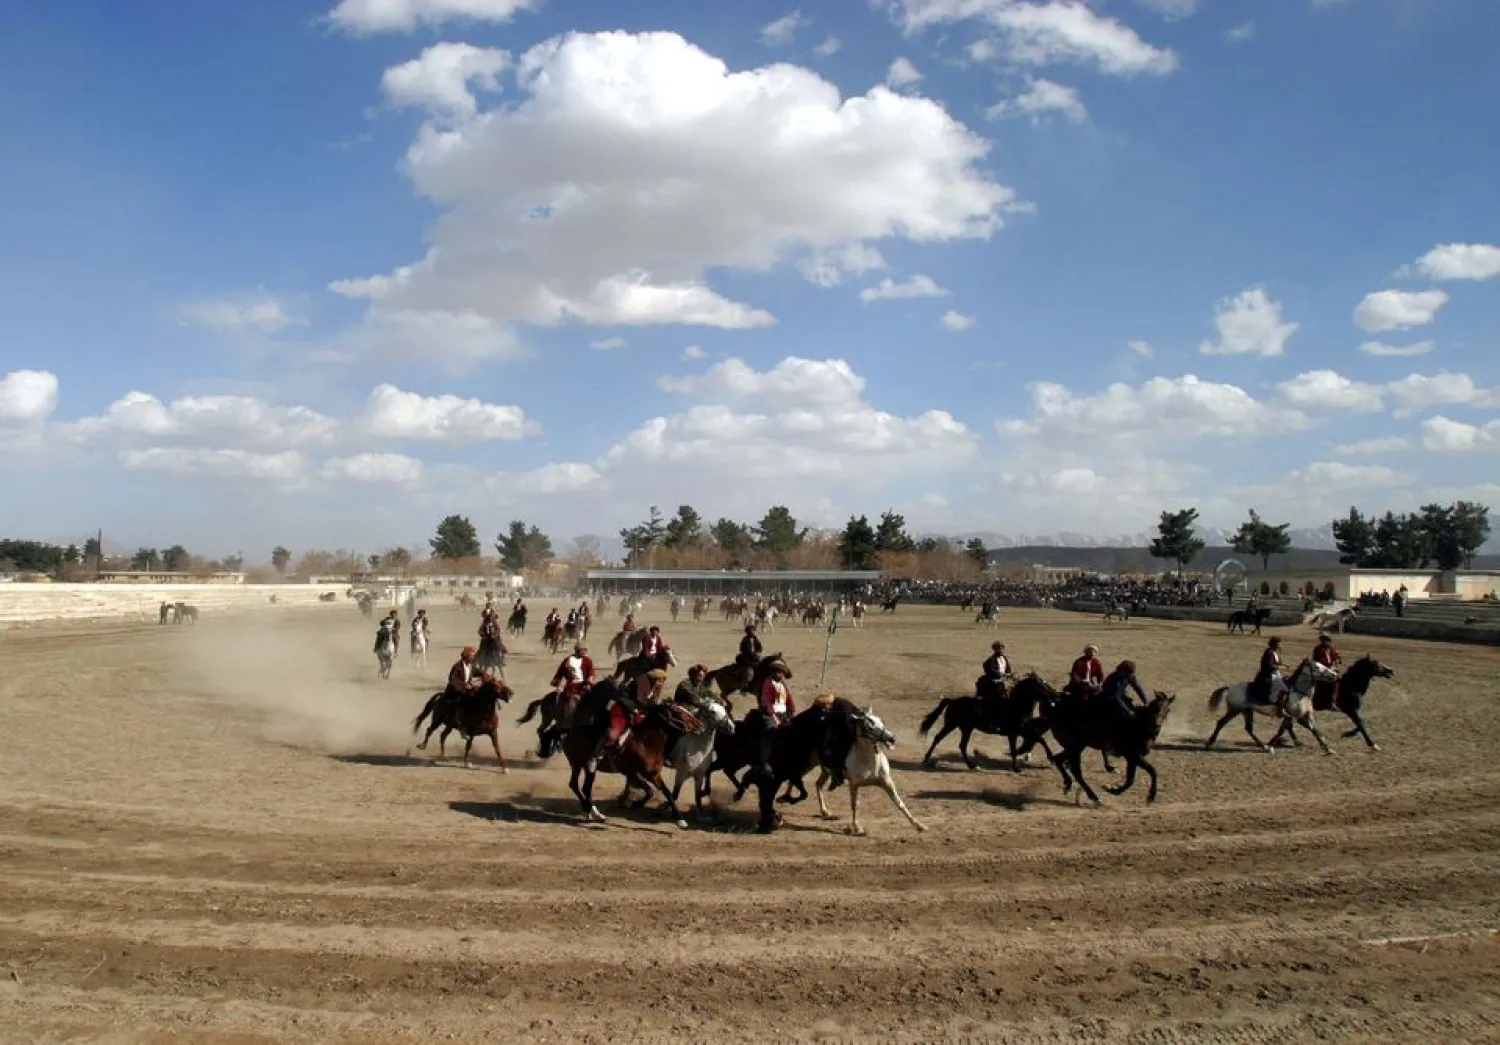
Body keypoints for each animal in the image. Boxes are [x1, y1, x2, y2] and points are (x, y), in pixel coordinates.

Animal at [561, 698, 695, 826]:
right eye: (679, 712)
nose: (698, 724)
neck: (645, 742)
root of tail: (568, 732)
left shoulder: (653, 774)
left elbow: (667, 792)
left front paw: (680, 819)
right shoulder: (631, 772)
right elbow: (649, 790)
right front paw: (636, 804)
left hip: (583, 766)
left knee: (581, 787)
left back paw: (592, 812)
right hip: (578, 764)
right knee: (579, 786)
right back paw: (595, 813)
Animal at [813, 703, 925, 835]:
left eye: (881, 721)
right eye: (869, 727)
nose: (891, 738)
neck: (869, 761)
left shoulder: (887, 781)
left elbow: (899, 802)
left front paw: (919, 825)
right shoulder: (854, 784)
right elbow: (855, 804)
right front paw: (857, 827)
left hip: (825, 771)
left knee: (818, 784)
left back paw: (825, 812)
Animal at [918, 674, 1057, 772]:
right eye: (1042, 686)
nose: (1054, 696)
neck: (1016, 706)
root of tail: (953, 701)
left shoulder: (1023, 730)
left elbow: (1040, 739)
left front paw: (1051, 758)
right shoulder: (1013, 733)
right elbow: (1014, 749)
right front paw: (1016, 768)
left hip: (964, 727)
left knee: (956, 744)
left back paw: (970, 765)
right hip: (954, 725)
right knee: (945, 740)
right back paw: (928, 759)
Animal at [1047, 688, 1177, 805]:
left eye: (1167, 709)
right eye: (1154, 707)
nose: (1155, 727)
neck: (1138, 725)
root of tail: (1055, 712)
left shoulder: (1133, 758)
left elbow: (1135, 777)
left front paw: (1115, 790)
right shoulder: (1133, 755)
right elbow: (1148, 773)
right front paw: (1149, 796)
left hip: (1077, 746)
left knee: (1058, 760)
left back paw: (1068, 784)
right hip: (1074, 747)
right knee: (1075, 771)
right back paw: (1094, 798)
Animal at [1205, 657, 1336, 755]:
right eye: (1316, 667)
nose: (1334, 674)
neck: (1298, 692)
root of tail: (1230, 687)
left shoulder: (1304, 716)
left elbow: (1315, 731)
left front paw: (1328, 749)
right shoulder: (1292, 716)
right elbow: (1282, 730)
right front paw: (1271, 746)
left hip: (1247, 711)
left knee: (1249, 729)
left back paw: (1262, 746)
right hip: (1234, 710)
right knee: (1221, 723)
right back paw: (1209, 743)